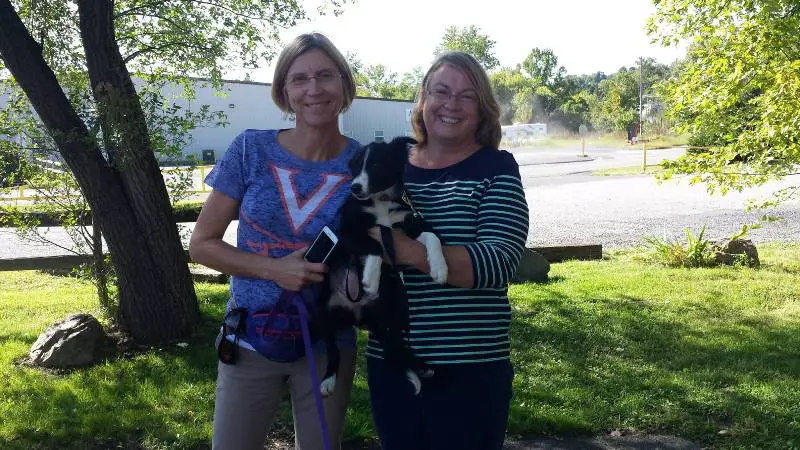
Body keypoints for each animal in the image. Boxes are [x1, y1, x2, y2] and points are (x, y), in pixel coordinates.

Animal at [318, 135, 446, 396]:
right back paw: (328, 380)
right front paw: (370, 278)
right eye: (356, 167)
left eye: (376, 165)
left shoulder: (410, 223)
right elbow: (375, 245)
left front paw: (440, 268)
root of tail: (358, 317)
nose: (355, 188)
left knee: (393, 348)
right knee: (333, 350)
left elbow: (433, 237)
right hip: (322, 313)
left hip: (391, 311)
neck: (381, 201)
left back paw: (421, 366)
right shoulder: (349, 233)